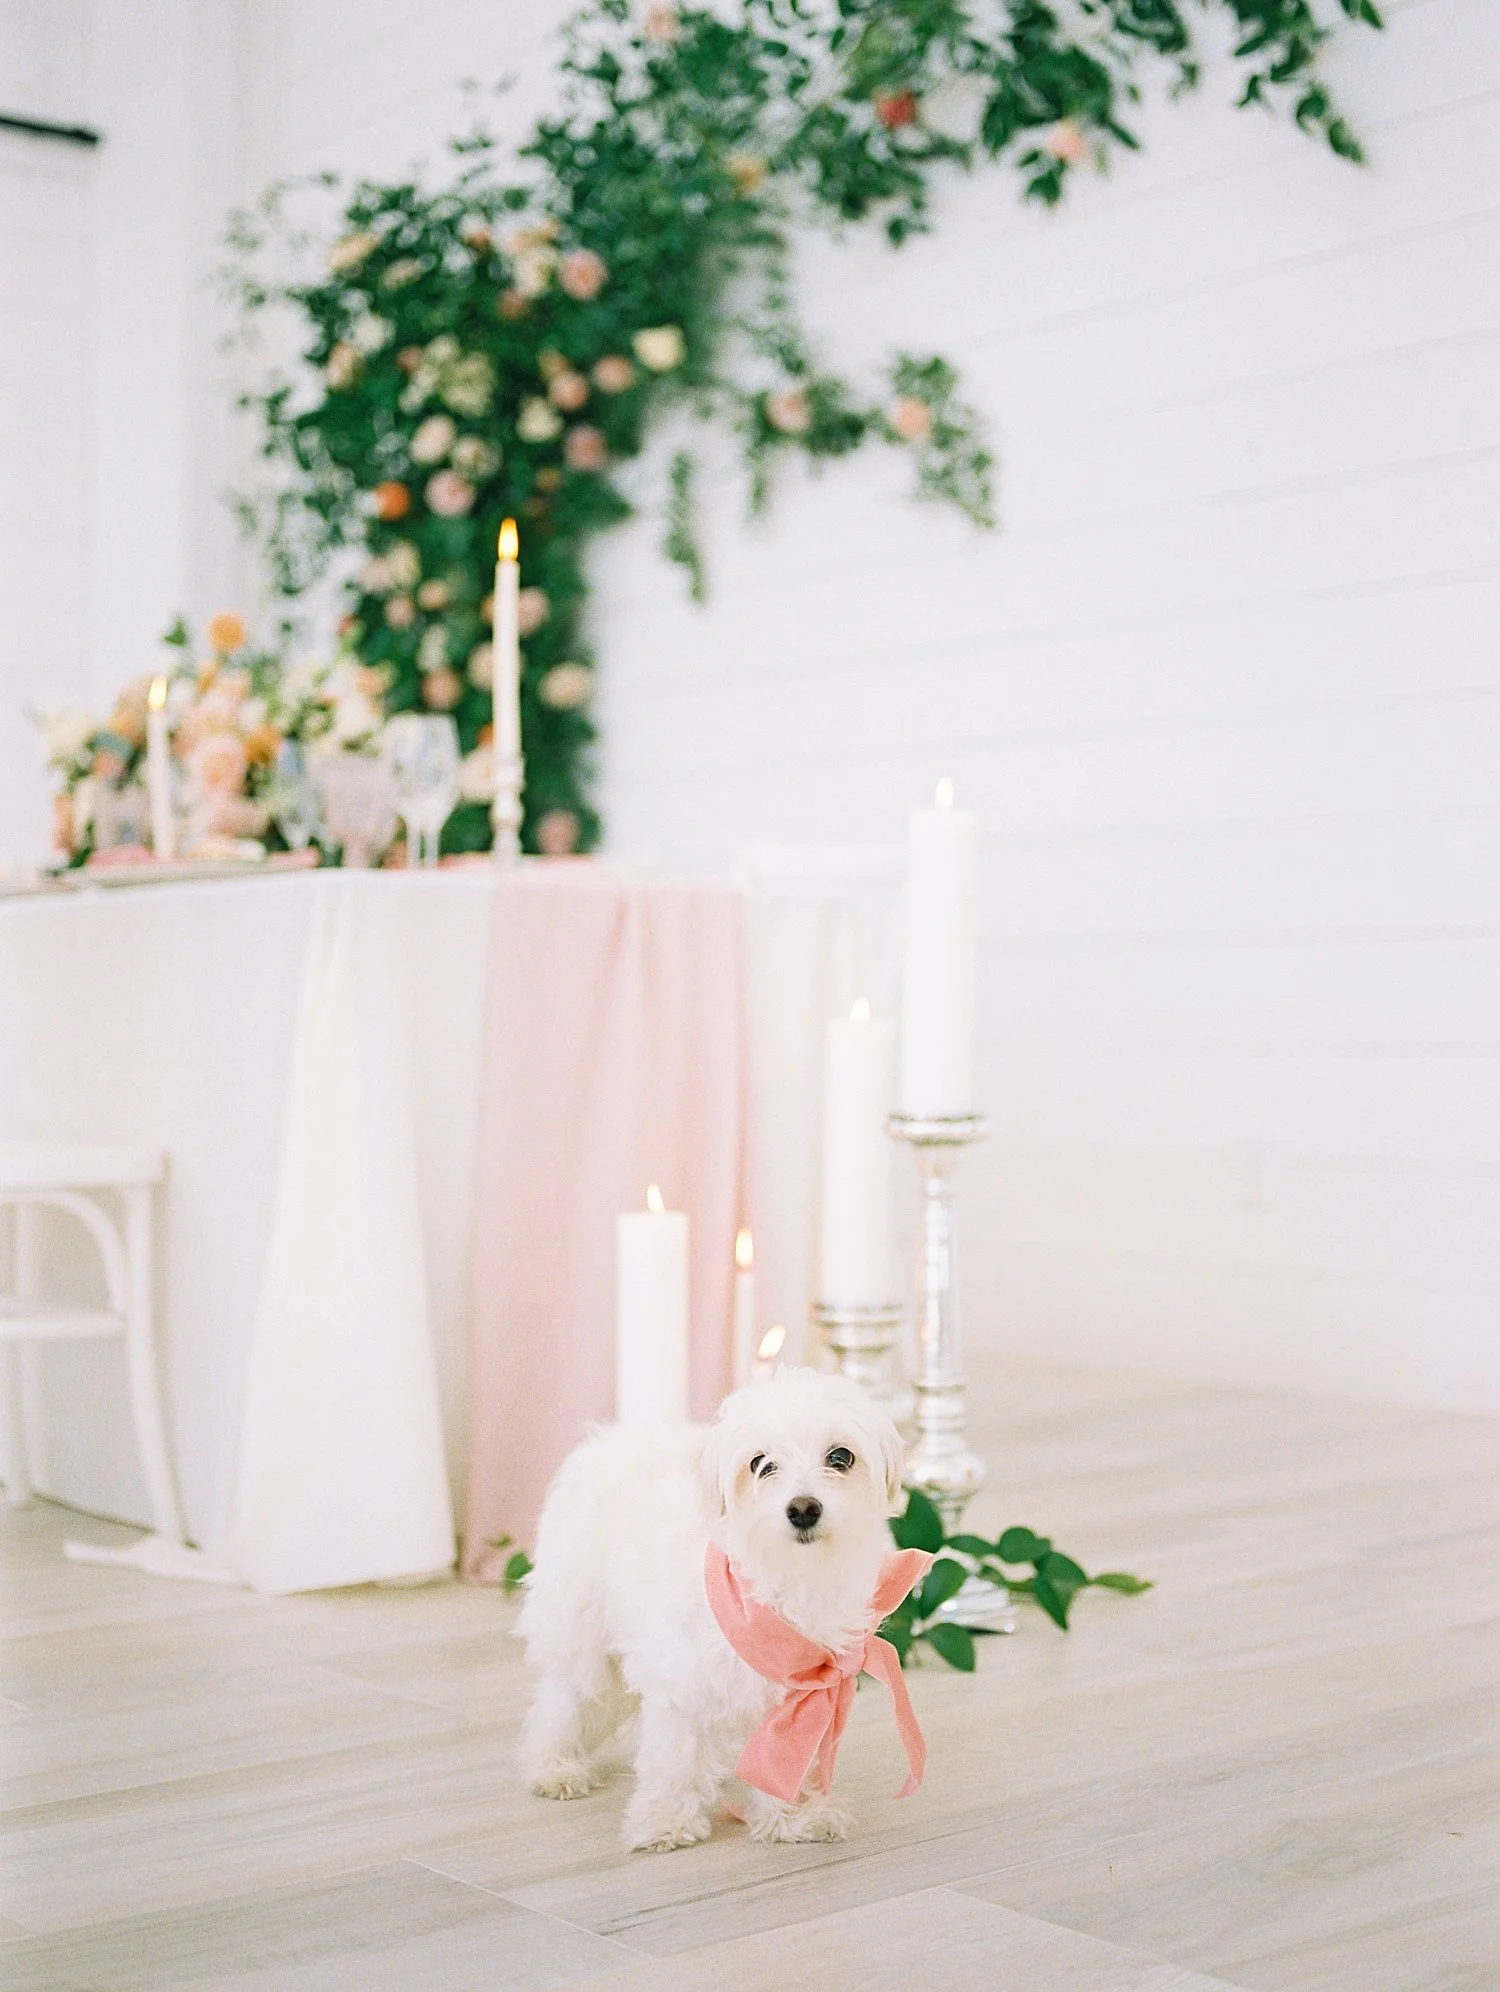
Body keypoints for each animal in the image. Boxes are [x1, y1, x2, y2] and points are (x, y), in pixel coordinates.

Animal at [521, 1370, 908, 1848]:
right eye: (760, 1463)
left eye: (840, 1457)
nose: (803, 1508)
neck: (784, 1579)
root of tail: (604, 1438)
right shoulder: (681, 1682)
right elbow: (673, 1759)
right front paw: (665, 1820)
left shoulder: (806, 1693)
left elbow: (787, 1757)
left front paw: (796, 1815)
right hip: (579, 1631)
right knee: (563, 1701)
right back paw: (554, 1768)